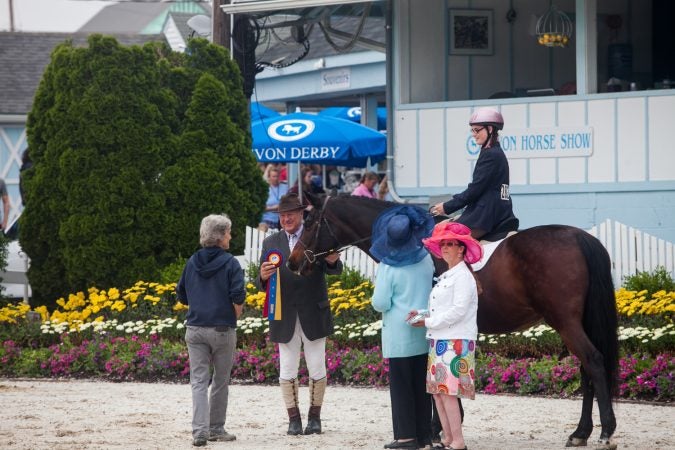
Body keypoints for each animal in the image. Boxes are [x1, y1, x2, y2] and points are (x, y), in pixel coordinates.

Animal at [288, 194, 620, 450]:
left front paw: (438, 429)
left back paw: (605, 432)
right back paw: (580, 433)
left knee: (593, 361)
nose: (292, 263)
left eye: (311, 222)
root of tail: (580, 236)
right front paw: (447, 425)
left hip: (565, 322)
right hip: (576, 323)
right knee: (586, 369)